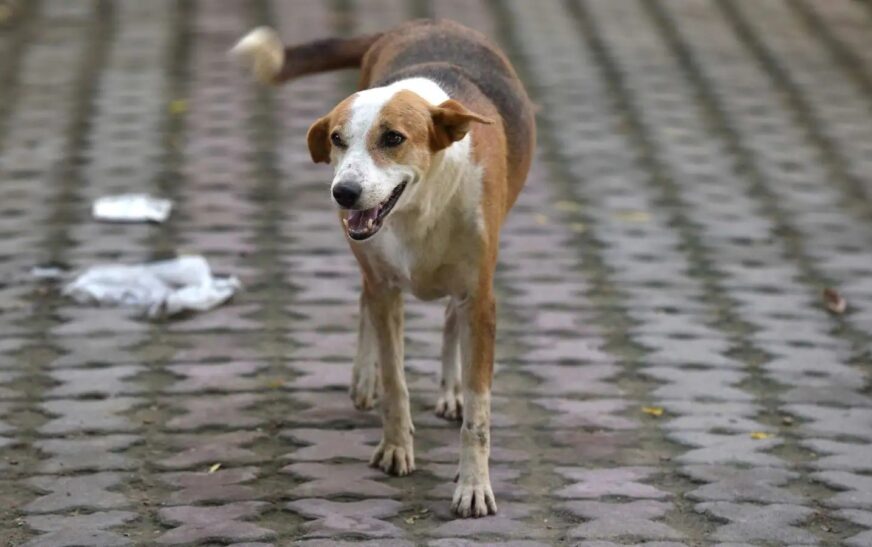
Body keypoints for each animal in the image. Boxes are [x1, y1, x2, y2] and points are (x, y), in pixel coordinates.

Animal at [228, 19, 536, 520]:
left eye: (393, 138)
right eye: (336, 139)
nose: (344, 193)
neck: (419, 208)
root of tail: (420, 23)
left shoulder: (481, 298)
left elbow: (479, 412)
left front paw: (473, 485)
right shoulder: (385, 288)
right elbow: (396, 382)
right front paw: (394, 446)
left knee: (450, 318)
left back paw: (450, 389)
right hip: (371, 273)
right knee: (364, 304)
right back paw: (364, 378)